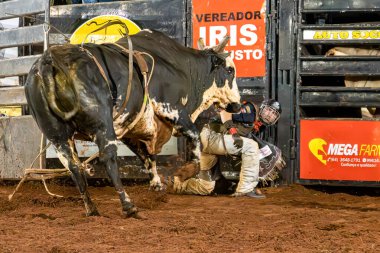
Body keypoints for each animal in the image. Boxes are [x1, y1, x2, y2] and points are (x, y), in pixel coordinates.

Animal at [24, 29, 240, 217]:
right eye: (230, 70)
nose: (237, 105)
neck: (182, 67)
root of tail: (49, 60)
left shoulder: (131, 129)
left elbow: (147, 156)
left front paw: (156, 185)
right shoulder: (172, 109)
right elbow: (195, 139)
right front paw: (183, 173)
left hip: (57, 135)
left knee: (74, 167)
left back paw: (91, 209)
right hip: (102, 125)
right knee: (108, 158)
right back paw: (128, 206)